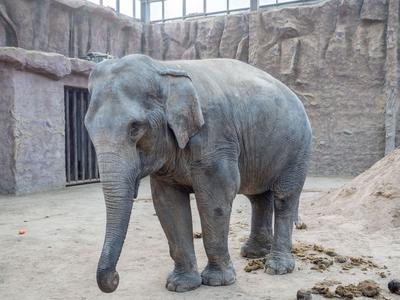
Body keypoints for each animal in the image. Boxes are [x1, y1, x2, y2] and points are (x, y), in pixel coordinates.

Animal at [85, 54, 312, 292]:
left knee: (285, 197)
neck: (163, 68)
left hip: (298, 148)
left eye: (135, 127)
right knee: (258, 197)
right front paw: (180, 285)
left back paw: (276, 267)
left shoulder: (215, 138)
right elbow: (168, 204)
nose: (115, 278)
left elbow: (215, 200)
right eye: (88, 128)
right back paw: (253, 254)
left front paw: (217, 282)